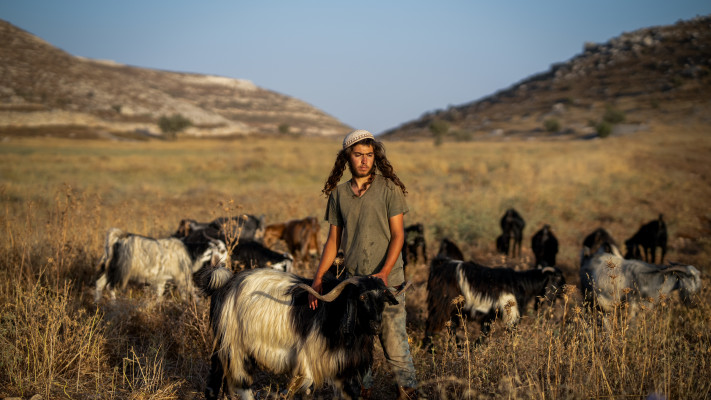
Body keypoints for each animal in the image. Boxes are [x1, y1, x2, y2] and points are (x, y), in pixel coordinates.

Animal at [94, 227, 227, 302]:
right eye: (221, 250)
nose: (224, 264)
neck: (189, 251)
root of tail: (117, 239)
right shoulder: (181, 277)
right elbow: (189, 292)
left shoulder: (161, 279)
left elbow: (159, 294)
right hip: (120, 271)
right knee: (110, 287)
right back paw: (114, 305)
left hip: (109, 269)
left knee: (99, 284)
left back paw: (97, 304)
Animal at [193, 266, 406, 400]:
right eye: (361, 297)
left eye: (383, 299)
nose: (376, 325)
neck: (335, 311)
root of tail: (226, 284)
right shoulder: (309, 363)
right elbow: (303, 391)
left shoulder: (342, 366)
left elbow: (351, 392)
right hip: (233, 344)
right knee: (238, 384)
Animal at [422, 256, 568, 346]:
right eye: (558, 279)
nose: (565, 292)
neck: (522, 283)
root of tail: (439, 267)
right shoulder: (509, 311)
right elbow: (506, 331)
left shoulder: (490, 315)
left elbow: (485, 331)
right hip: (443, 303)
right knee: (435, 322)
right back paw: (430, 347)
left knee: (447, 324)